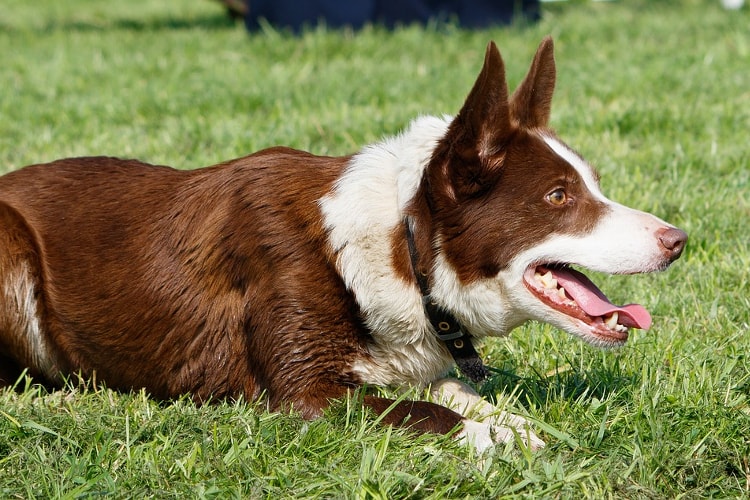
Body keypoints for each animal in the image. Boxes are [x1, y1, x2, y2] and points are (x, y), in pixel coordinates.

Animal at [0, 38, 688, 454]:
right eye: (558, 196)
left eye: (592, 184)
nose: (678, 240)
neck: (400, 246)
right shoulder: (304, 396)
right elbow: (428, 414)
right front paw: (491, 441)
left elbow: (461, 394)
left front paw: (514, 425)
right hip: (11, 251)